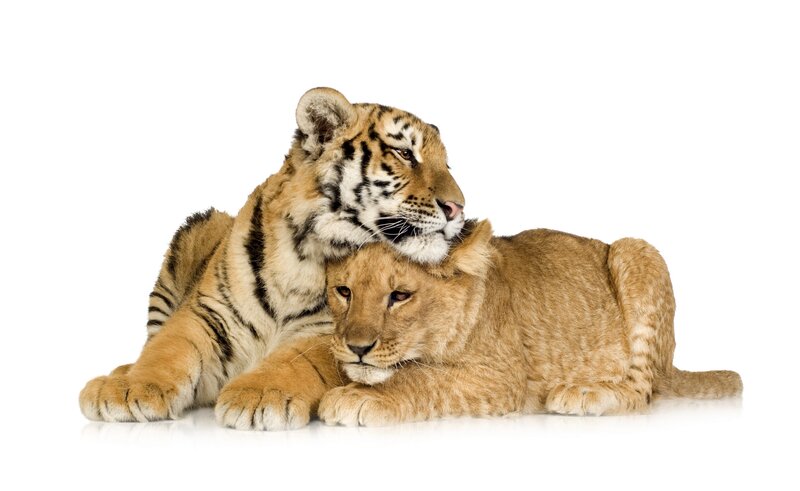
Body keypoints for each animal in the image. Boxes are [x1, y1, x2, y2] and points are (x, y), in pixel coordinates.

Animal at [79, 88, 465, 430]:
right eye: (404, 154)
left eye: (447, 163)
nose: (458, 207)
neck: (304, 252)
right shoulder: (207, 312)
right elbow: (169, 347)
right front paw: (128, 389)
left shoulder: (331, 330)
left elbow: (298, 358)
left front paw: (258, 396)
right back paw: (119, 373)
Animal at [263, 219, 742, 427]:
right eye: (344, 292)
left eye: (399, 296)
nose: (357, 347)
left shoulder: (502, 377)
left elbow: (422, 378)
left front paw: (358, 397)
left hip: (635, 249)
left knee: (643, 392)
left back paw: (583, 393)